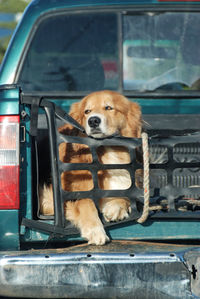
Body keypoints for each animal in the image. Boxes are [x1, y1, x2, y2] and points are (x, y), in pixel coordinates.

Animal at [39, 91, 141, 246]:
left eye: (108, 107)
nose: (93, 121)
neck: (105, 151)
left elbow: (125, 194)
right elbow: (85, 203)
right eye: (87, 111)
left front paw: (115, 207)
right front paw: (95, 230)